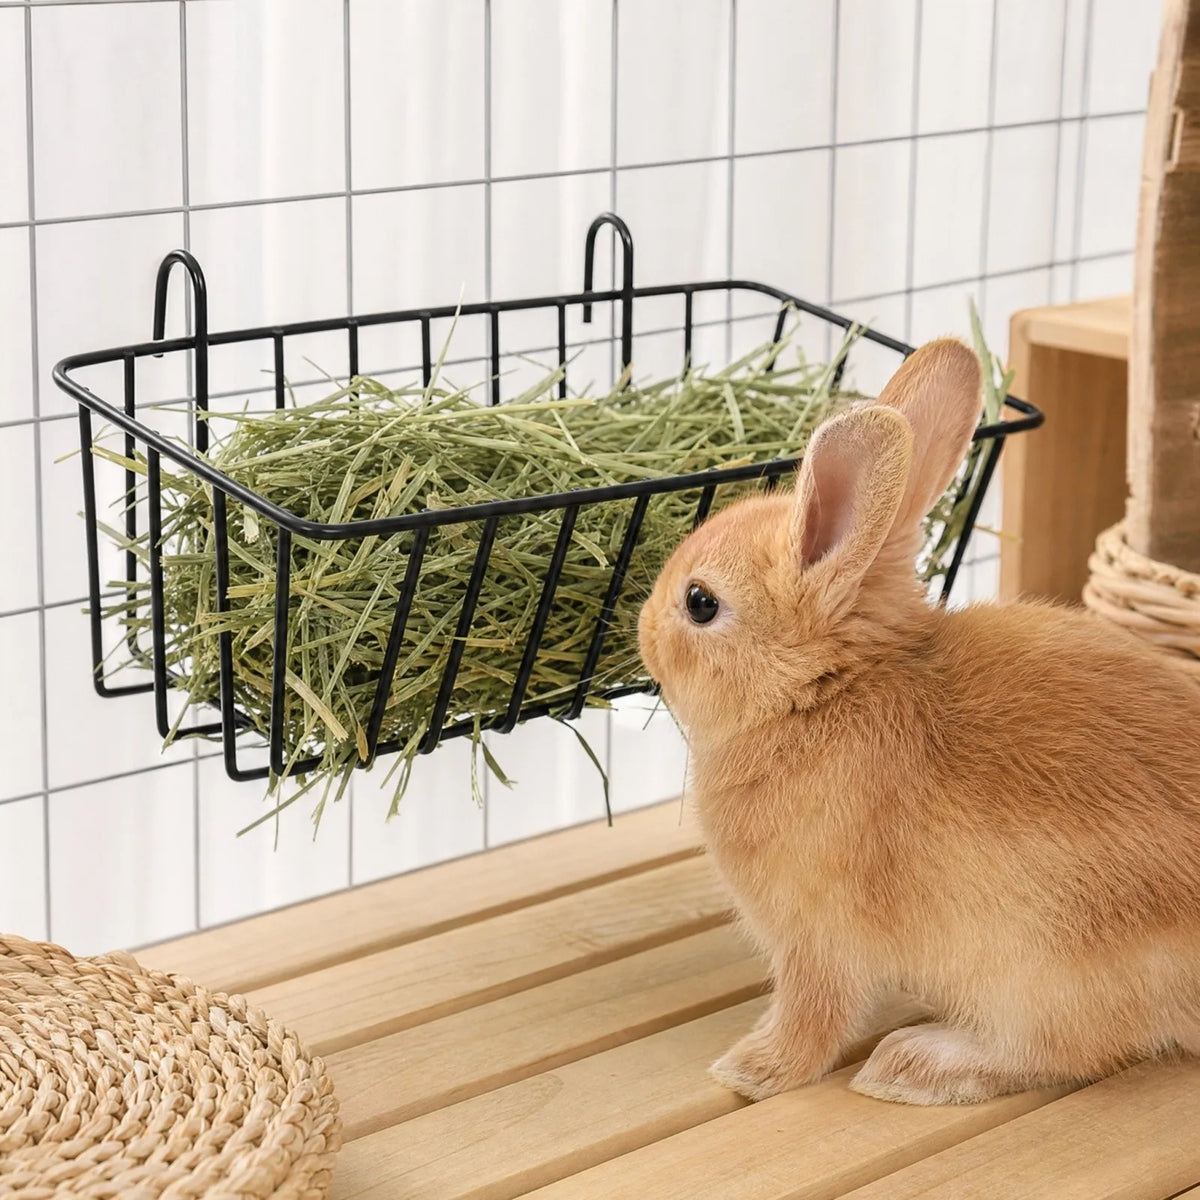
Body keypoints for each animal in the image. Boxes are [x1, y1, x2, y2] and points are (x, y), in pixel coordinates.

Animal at [637, 337, 1200, 1106]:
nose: (641, 632)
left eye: (700, 603)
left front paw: (751, 1070)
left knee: (1062, 1051)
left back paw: (914, 1065)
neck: (822, 694)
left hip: (1047, 964)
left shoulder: (816, 939)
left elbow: (811, 1015)